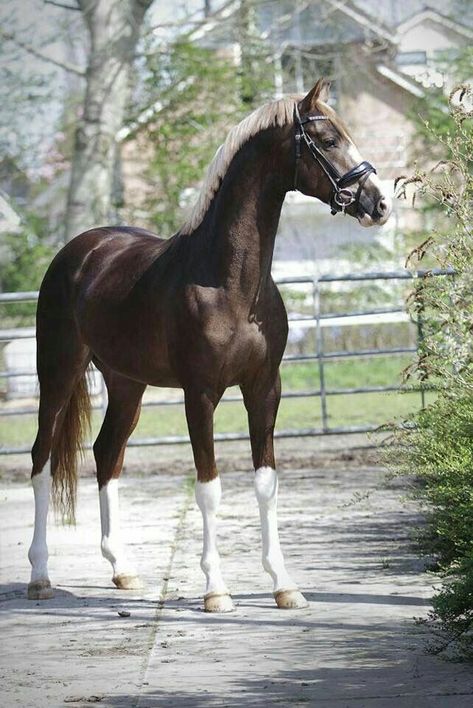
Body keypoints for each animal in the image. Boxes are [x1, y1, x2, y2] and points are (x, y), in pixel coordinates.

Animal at [28, 80, 390, 612]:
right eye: (326, 140)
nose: (379, 204)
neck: (229, 282)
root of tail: (80, 251)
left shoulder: (264, 389)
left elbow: (266, 483)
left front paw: (284, 585)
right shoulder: (200, 394)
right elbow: (209, 488)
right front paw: (216, 590)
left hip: (127, 385)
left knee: (106, 454)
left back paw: (123, 570)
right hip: (57, 373)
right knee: (42, 458)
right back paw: (40, 575)